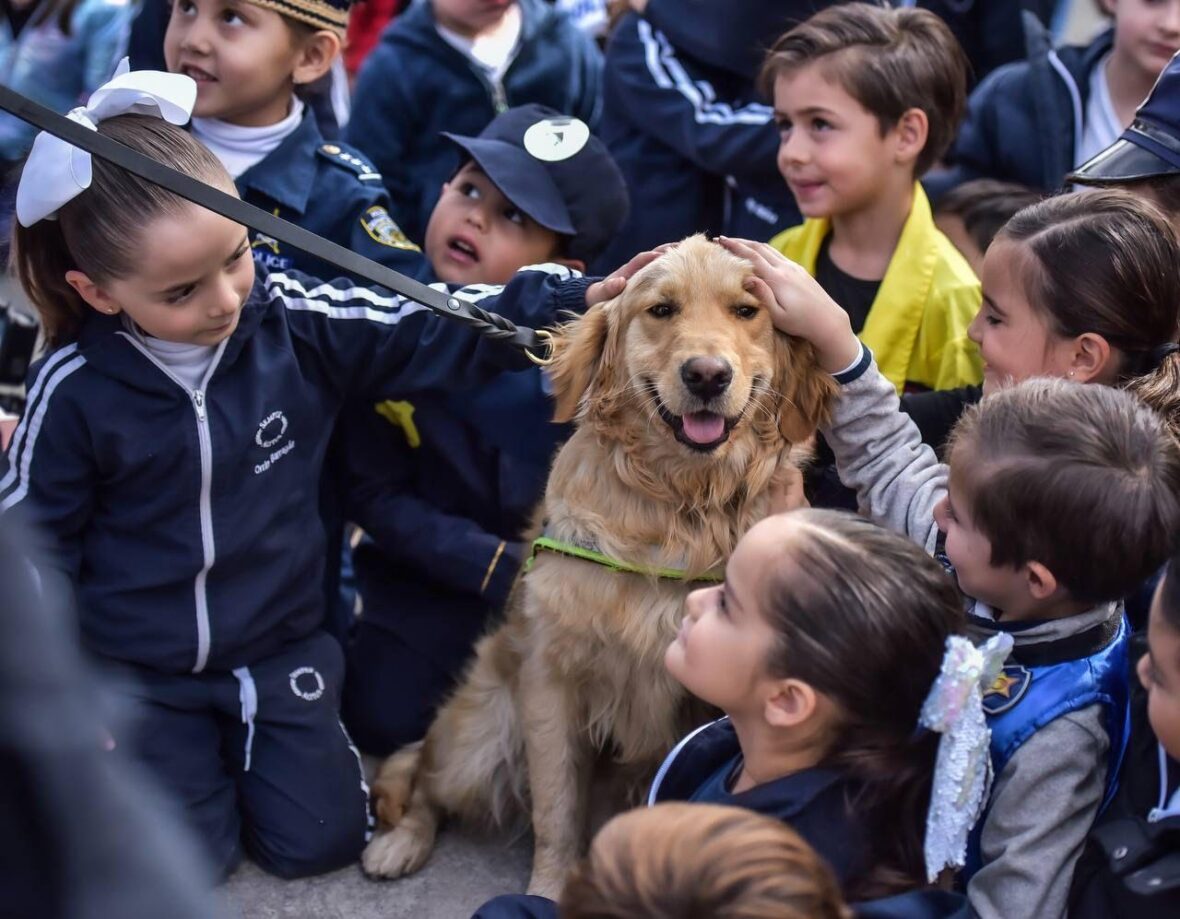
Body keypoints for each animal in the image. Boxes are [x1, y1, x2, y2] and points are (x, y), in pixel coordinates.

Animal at [363, 235, 835, 896]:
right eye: (661, 310)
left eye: (747, 311)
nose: (707, 375)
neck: (682, 503)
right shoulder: (551, 679)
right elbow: (557, 807)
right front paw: (548, 889)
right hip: (482, 732)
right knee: (428, 777)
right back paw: (399, 843)